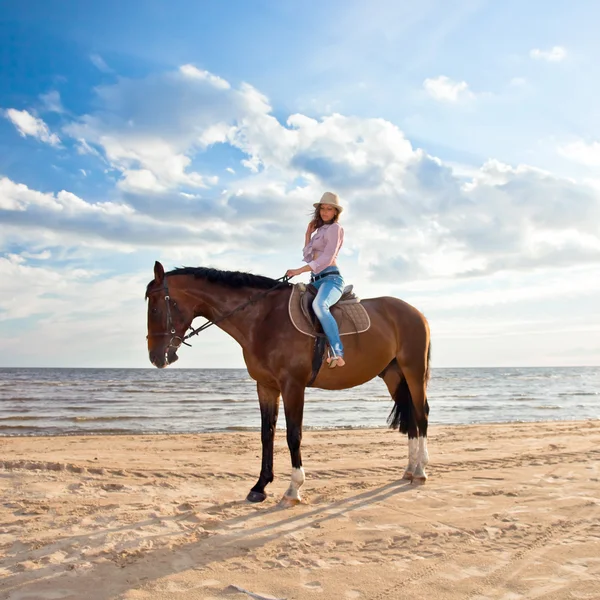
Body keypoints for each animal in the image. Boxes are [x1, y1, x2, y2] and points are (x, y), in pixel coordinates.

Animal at [146, 262, 432, 506]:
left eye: (156, 308)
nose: (156, 357)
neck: (262, 319)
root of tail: (416, 313)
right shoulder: (266, 386)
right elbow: (267, 434)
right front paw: (259, 487)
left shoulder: (293, 385)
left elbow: (293, 435)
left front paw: (293, 489)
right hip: (394, 376)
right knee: (411, 417)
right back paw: (409, 469)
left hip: (414, 372)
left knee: (421, 414)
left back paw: (420, 470)